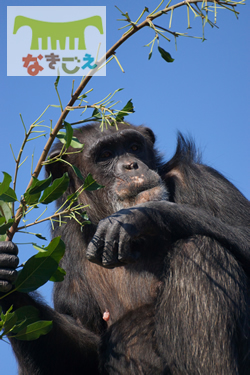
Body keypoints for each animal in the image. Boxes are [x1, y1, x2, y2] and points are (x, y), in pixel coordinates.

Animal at [0, 122, 249, 374]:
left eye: (134, 147)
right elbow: (84, 344)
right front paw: (6, 274)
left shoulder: (199, 178)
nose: (131, 165)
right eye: (106, 155)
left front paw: (137, 216)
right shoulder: (64, 235)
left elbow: (244, 234)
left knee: (197, 251)